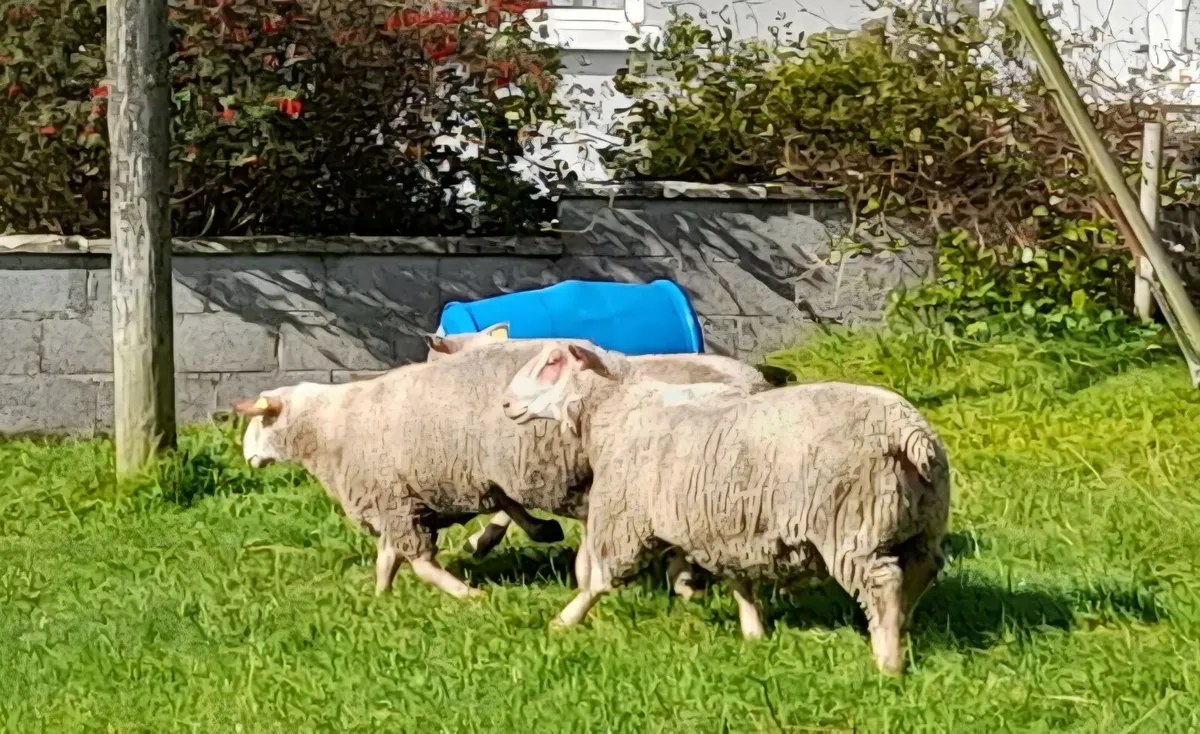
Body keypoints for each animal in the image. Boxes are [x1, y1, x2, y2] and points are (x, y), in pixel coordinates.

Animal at [500, 341, 951, 676]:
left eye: (553, 362)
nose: (505, 404)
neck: (616, 408)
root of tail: (907, 429)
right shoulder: (725, 527)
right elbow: (739, 582)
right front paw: (752, 632)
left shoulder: (625, 519)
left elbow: (598, 581)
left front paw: (564, 621)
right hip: (921, 522)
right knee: (923, 568)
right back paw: (901, 626)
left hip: (852, 525)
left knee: (884, 582)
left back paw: (887, 660)